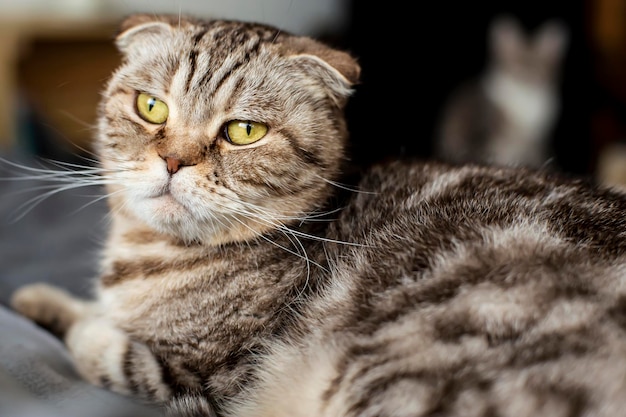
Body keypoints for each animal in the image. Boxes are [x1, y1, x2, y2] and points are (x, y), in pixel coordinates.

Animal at [434, 15, 564, 169]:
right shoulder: (484, 125)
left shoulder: (537, 139)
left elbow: (538, 157)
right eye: (514, 64)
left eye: (540, 68)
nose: (526, 77)